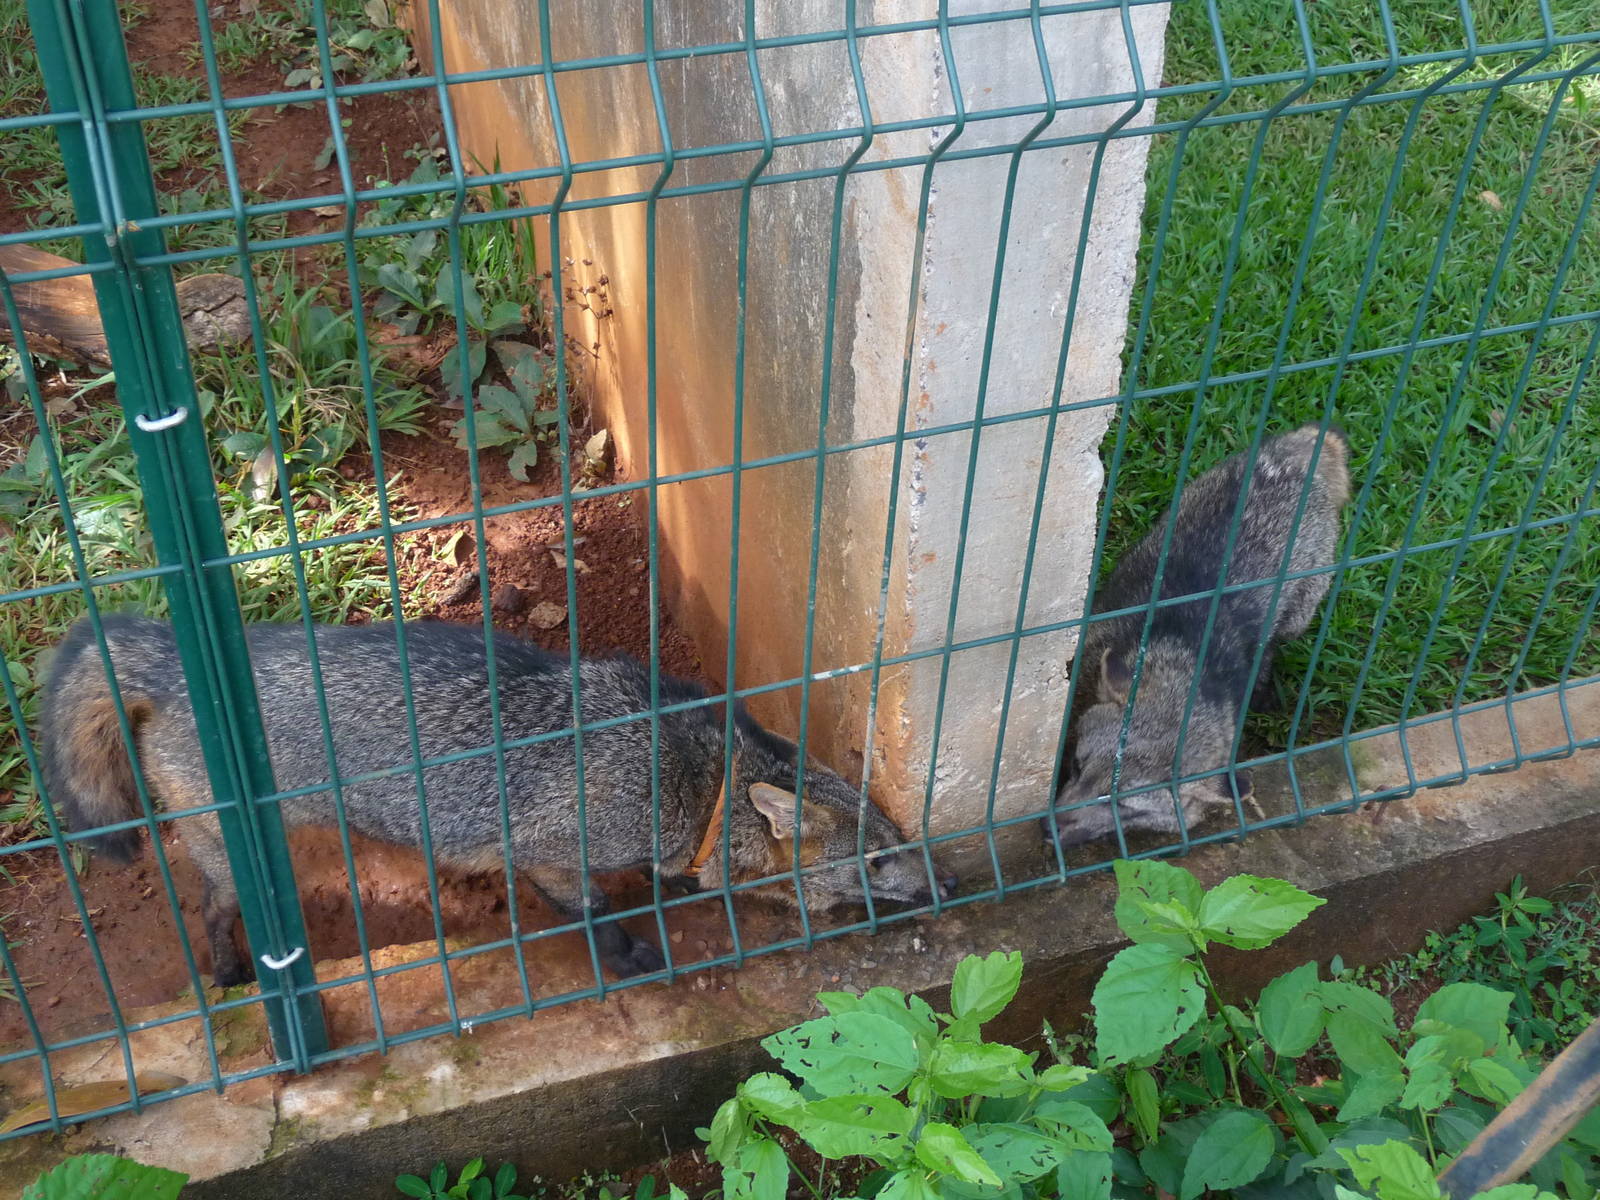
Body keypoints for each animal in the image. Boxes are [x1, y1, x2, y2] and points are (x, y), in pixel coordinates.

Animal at [41, 616, 957, 988]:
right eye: (879, 859)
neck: (698, 782)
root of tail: (170, 653)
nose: (951, 885)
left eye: (902, 838)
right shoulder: (551, 851)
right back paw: (234, 971)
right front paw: (628, 954)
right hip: (235, 856)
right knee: (210, 909)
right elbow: (592, 910)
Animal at [1047, 423, 1352, 847]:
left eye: (1125, 807)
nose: (1049, 829)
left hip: (1298, 615)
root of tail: (1292, 455)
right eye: (1077, 766)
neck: (1181, 653)